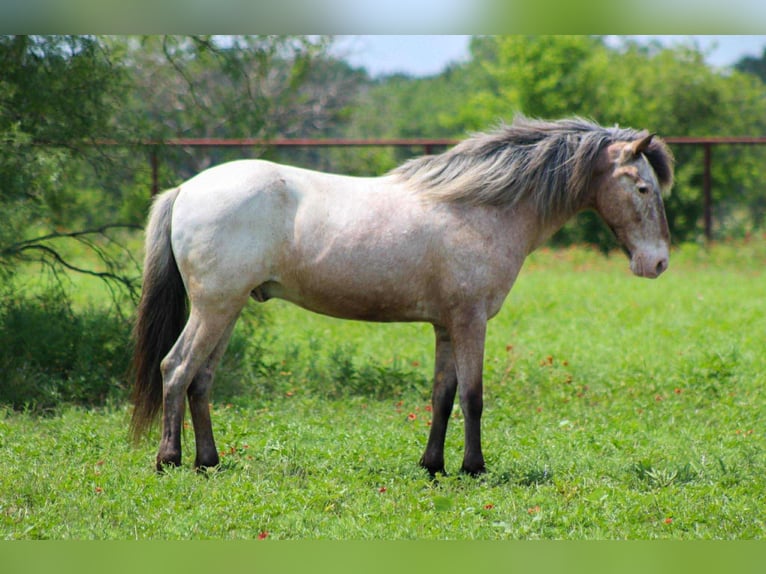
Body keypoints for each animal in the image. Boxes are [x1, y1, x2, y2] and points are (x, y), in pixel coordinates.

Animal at [130, 115, 674, 476]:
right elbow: (473, 396)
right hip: (214, 308)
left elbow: (442, 395)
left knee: (200, 380)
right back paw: (169, 460)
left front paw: (432, 465)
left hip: (230, 308)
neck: (481, 207)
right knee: (176, 369)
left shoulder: (446, 325)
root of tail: (186, 189)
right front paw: (474, 468)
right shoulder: (471, 320)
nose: (659, 263)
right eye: (643, 188)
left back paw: (209, 462)